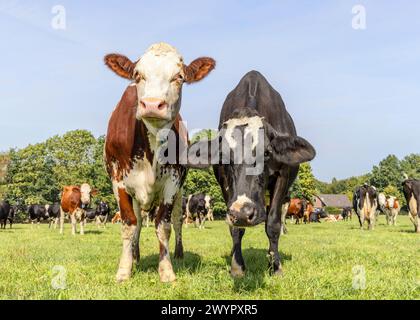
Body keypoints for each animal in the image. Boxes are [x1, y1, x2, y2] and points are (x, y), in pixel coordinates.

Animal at [103, 42, 217, 282]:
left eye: (179, 76)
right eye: (137, 75)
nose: (153, 104)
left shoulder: (172, 183)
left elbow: (164, 225)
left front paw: (166, 270)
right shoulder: (118, 181)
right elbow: (129, 225)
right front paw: (124, 269)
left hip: (181, 193)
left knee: (177, 220)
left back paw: (178, 253)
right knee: (137, 221)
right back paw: (135, 255)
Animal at [187, 71, 316, 276]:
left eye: (267, 152)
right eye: (223, 155)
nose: (242, 213)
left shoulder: (283, 176)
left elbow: (272, 224)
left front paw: (275, 266)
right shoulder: (225, 186)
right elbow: (235, 229)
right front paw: (237, 266)